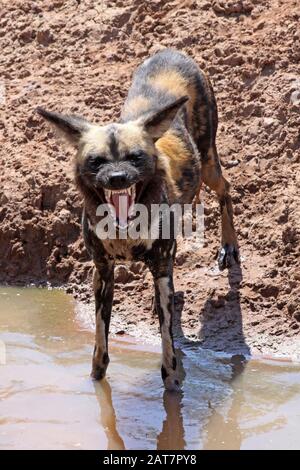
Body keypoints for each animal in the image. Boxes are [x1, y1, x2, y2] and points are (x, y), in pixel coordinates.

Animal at [37, 48, 239, 392]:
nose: (118, 178)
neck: (126, 232)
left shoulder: (159, 269)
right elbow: (100, 344)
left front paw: (174, 388)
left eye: (135, 158)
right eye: (97, 161)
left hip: (209, 163)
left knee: (226, 190)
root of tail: (171, 52)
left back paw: (229, 247)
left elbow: (168, 347)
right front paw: (97, 385)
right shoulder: (103, 273)